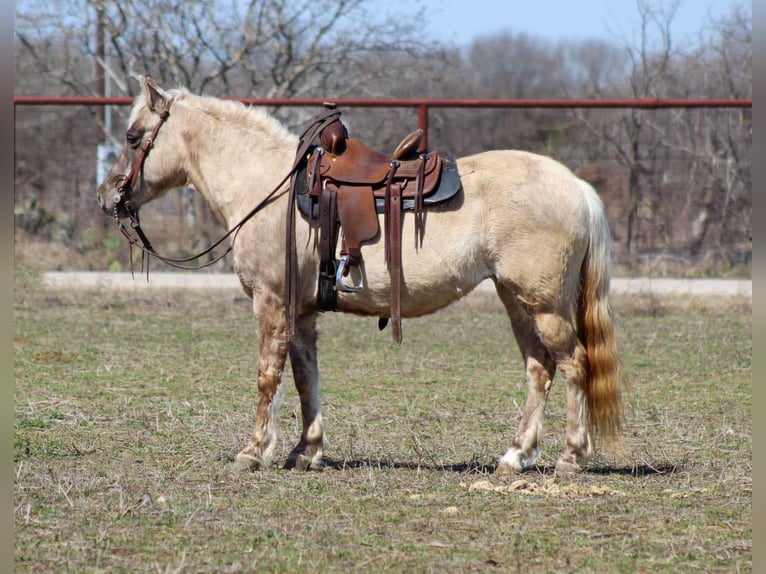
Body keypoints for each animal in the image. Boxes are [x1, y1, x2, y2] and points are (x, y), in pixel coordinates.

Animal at [97, 76, 622, 475]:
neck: (268, 187)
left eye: (132, 137)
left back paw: (571, 458)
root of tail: (574, 185)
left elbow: (268, 376)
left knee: (574, 364)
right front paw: (305, 451)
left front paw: (253, 451)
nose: (106, 196)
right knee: (539, 368)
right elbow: (305, 377)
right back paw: (514, 456)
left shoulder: (271, 302)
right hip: (517, 300)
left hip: (545, 304)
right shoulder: (302, 312)